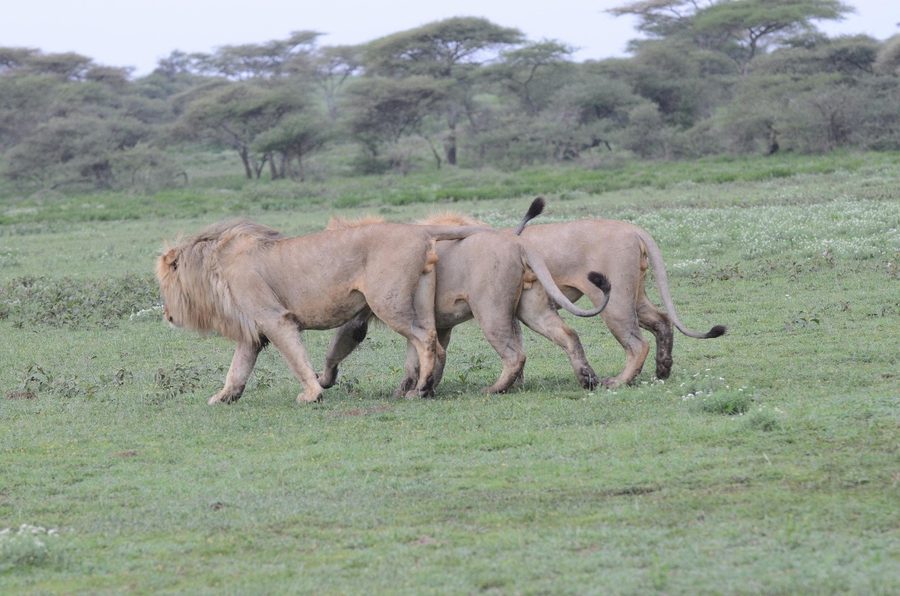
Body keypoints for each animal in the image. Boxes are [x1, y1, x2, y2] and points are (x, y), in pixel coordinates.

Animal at [155, 218, 491, 404]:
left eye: (164, 286)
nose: (167, 316)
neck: (215, 268)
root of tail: (416, 231)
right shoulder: (254, 331)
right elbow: (236, 370)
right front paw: (224, 397)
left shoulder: (275, 319)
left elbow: (295, 359)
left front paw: (312, 395)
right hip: (417, 301)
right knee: (434, 341)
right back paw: (423, 388)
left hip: (388, 302)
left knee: (424, 340)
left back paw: (421, 388)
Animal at [318, 199, 613, 394]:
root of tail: (517, 243)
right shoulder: (431, 321)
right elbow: (420, 355)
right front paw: (414, 388)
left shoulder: (366, 313)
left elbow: (336, 348)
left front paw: (323, 381)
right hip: (531, 308)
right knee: (567, 334)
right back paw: (587, 379)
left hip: (490, 309)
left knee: (514, 353)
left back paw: (495, 389)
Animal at [519, 219, 726, 387]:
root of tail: (633, 228)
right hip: (634, 297)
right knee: (662, 321)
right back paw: (662, 370)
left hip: (613, 300)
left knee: (638, 344)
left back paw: (617, 382)